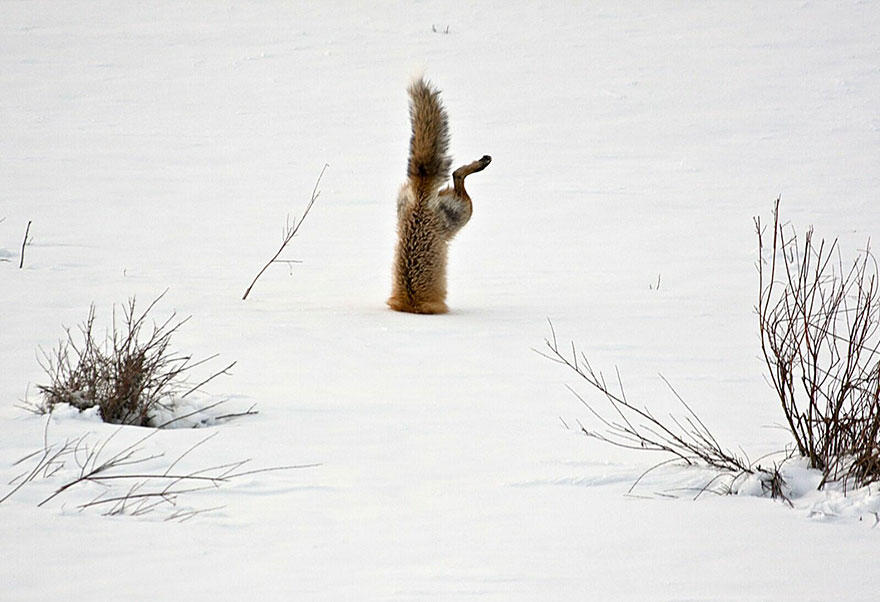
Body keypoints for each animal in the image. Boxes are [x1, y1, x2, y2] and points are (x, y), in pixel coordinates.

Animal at [388, 77, 492, 314]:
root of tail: (421, 193)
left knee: (457, 175)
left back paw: (481, 163)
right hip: (463, 213)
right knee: (457, 174)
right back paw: (481, 163)